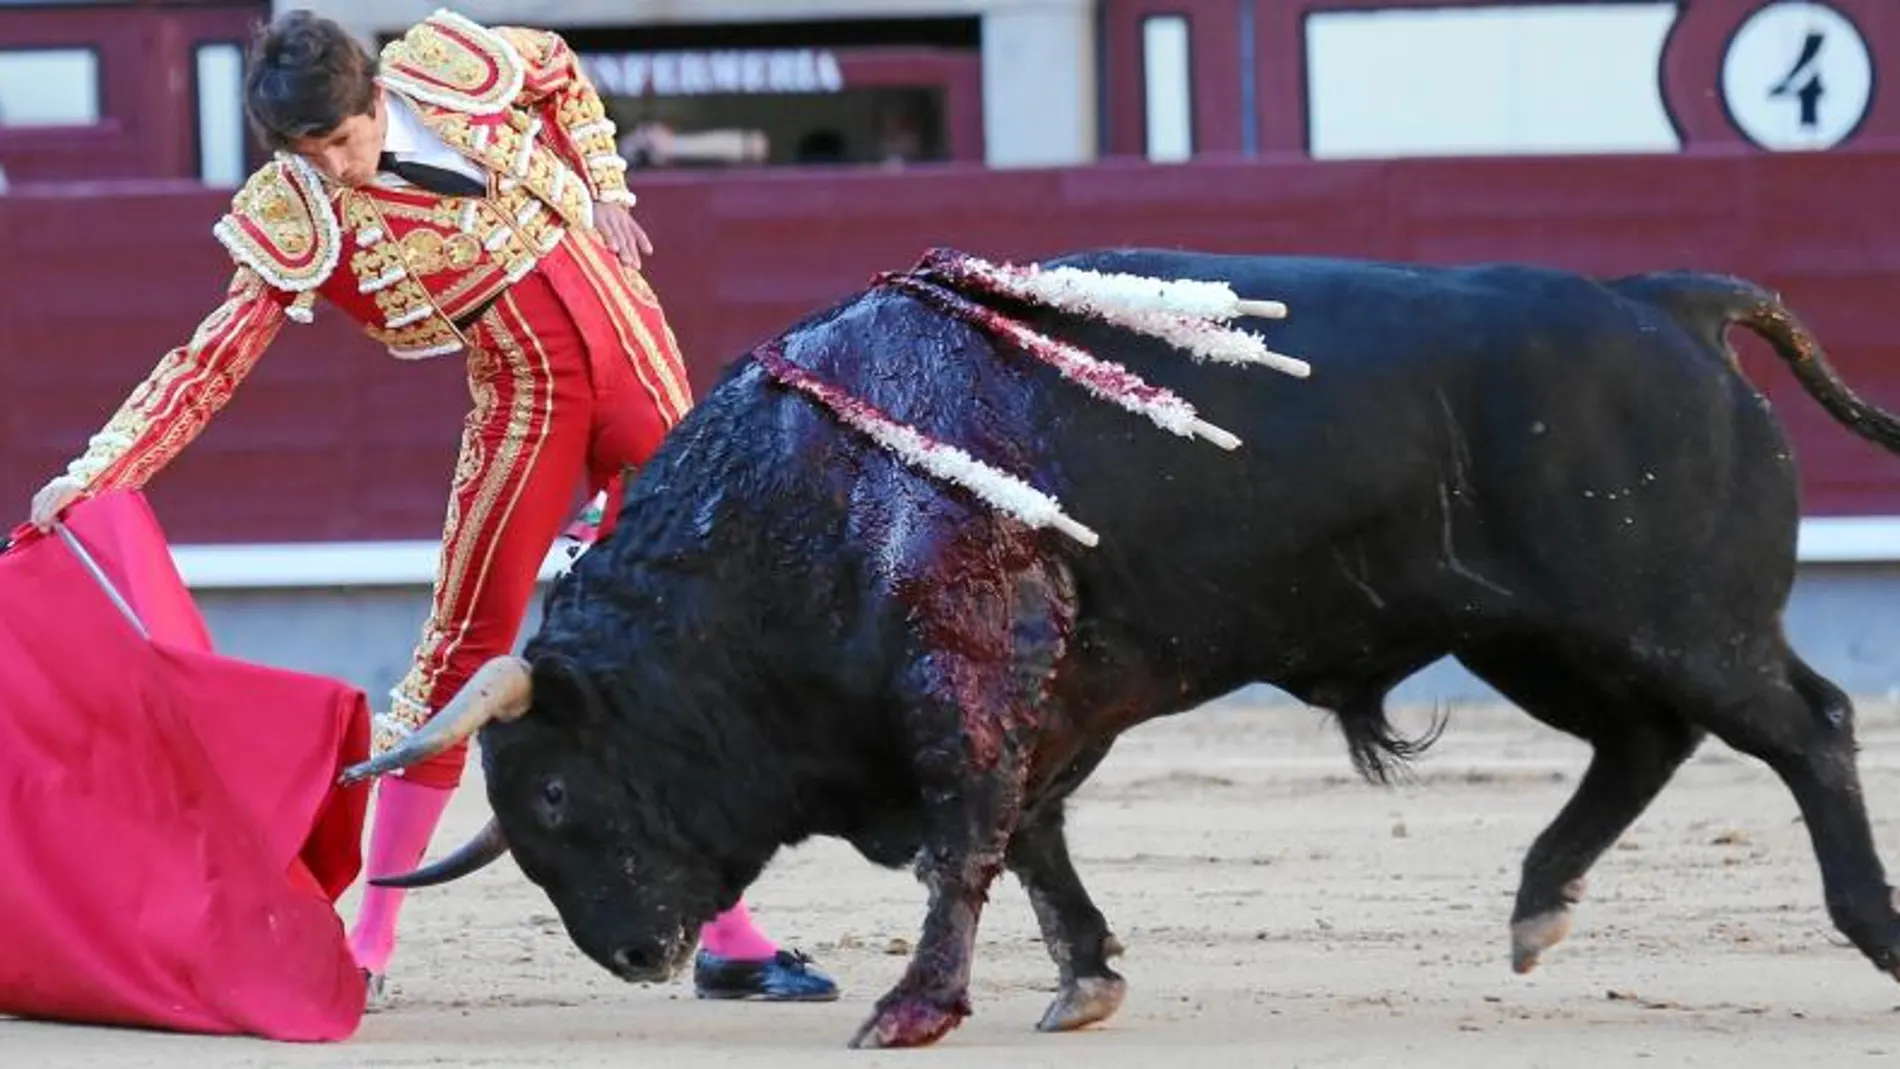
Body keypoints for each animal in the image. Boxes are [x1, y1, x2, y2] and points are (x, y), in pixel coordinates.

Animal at [338, 246, 1900, 1048]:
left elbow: (968, 837)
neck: (798, 498)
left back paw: (1873, 933)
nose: (631, 956)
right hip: (1551, 637)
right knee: (1646, 740)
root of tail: (1668, 300)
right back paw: (1538, 903)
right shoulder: (1050, 693)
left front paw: (913, 1007)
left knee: (1806, 724)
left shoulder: (970, 676)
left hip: (1671, 620)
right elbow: (1029, 838)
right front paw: (1083, 977)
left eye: (551, 793)